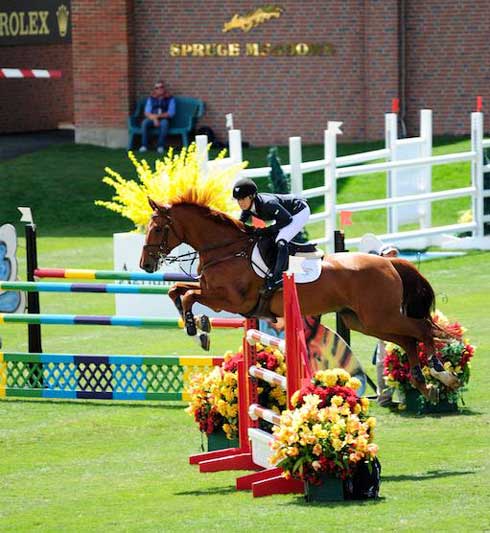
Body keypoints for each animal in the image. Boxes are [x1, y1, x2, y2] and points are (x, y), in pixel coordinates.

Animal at [140, 198, 458, 400]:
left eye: (157, 228)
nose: (146, 264)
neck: (227, 250)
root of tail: (389, 262)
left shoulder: (229, 300)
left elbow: (189, 295)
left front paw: (198, 330)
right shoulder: (213, 292)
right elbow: (176, 291)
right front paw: (199, 328)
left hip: (381, 316)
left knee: (421, 330)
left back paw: (441, 373)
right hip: (364, 321)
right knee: (408, 339)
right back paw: (425, 384)